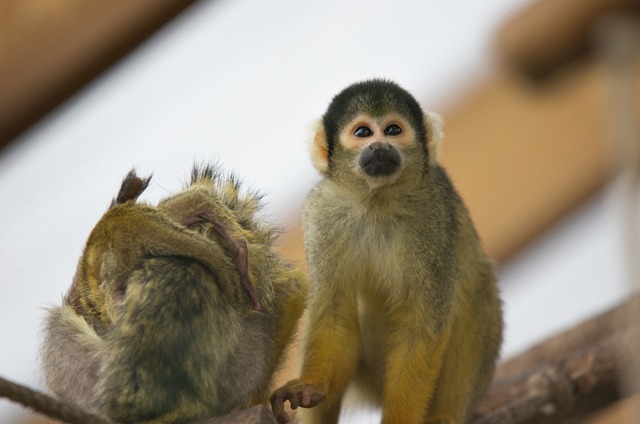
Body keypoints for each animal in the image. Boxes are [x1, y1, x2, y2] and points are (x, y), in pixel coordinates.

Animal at [270, 80, 500, 424]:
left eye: (393, 130)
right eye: (363, 132)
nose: (379, 147)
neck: (376, 201)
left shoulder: (433, 212)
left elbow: (422, 327)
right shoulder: (323, 213)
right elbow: (333, 312)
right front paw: (311, 386)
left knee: (475, 293)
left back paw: (446, 414)